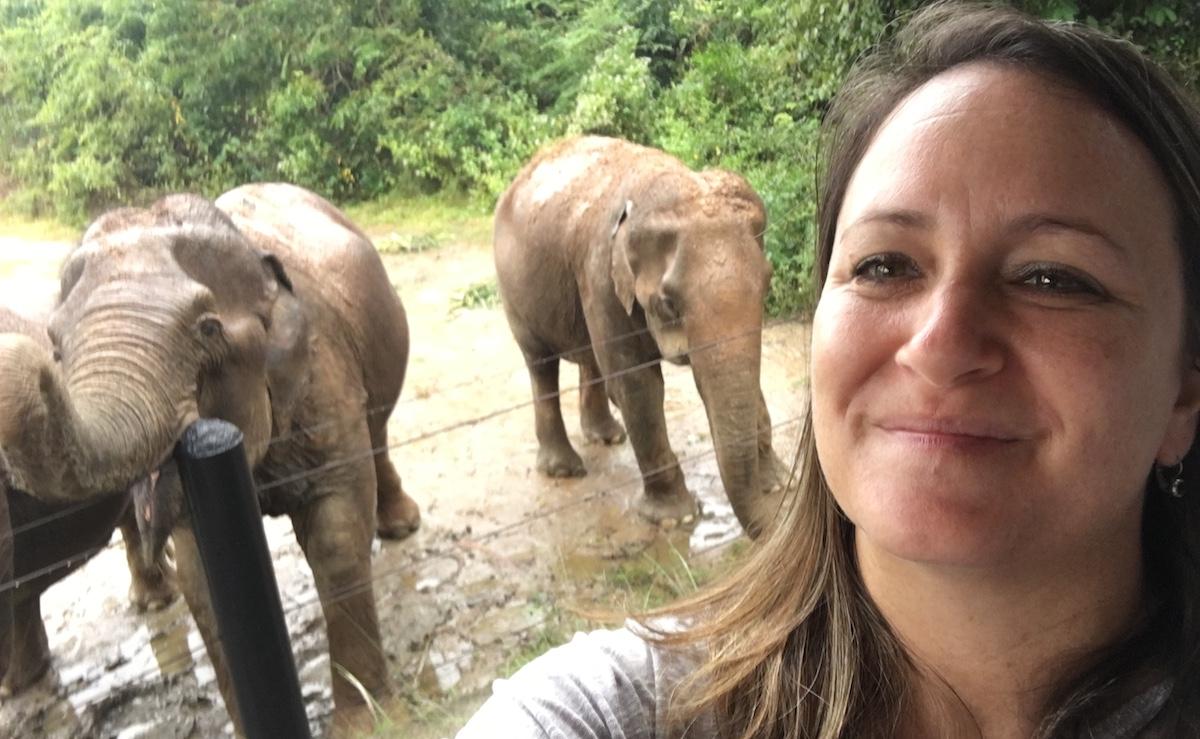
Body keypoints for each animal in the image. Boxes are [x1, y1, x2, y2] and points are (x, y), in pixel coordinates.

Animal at [489, 135, 782, 535]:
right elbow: (637, 384)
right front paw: (677, 518)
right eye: (669, 304)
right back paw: (565, 469)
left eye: (767, 284)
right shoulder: (601, 276)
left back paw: (607, 436)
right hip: (515, 292)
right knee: (541, 364)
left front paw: (779, 483)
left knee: (589, 359)